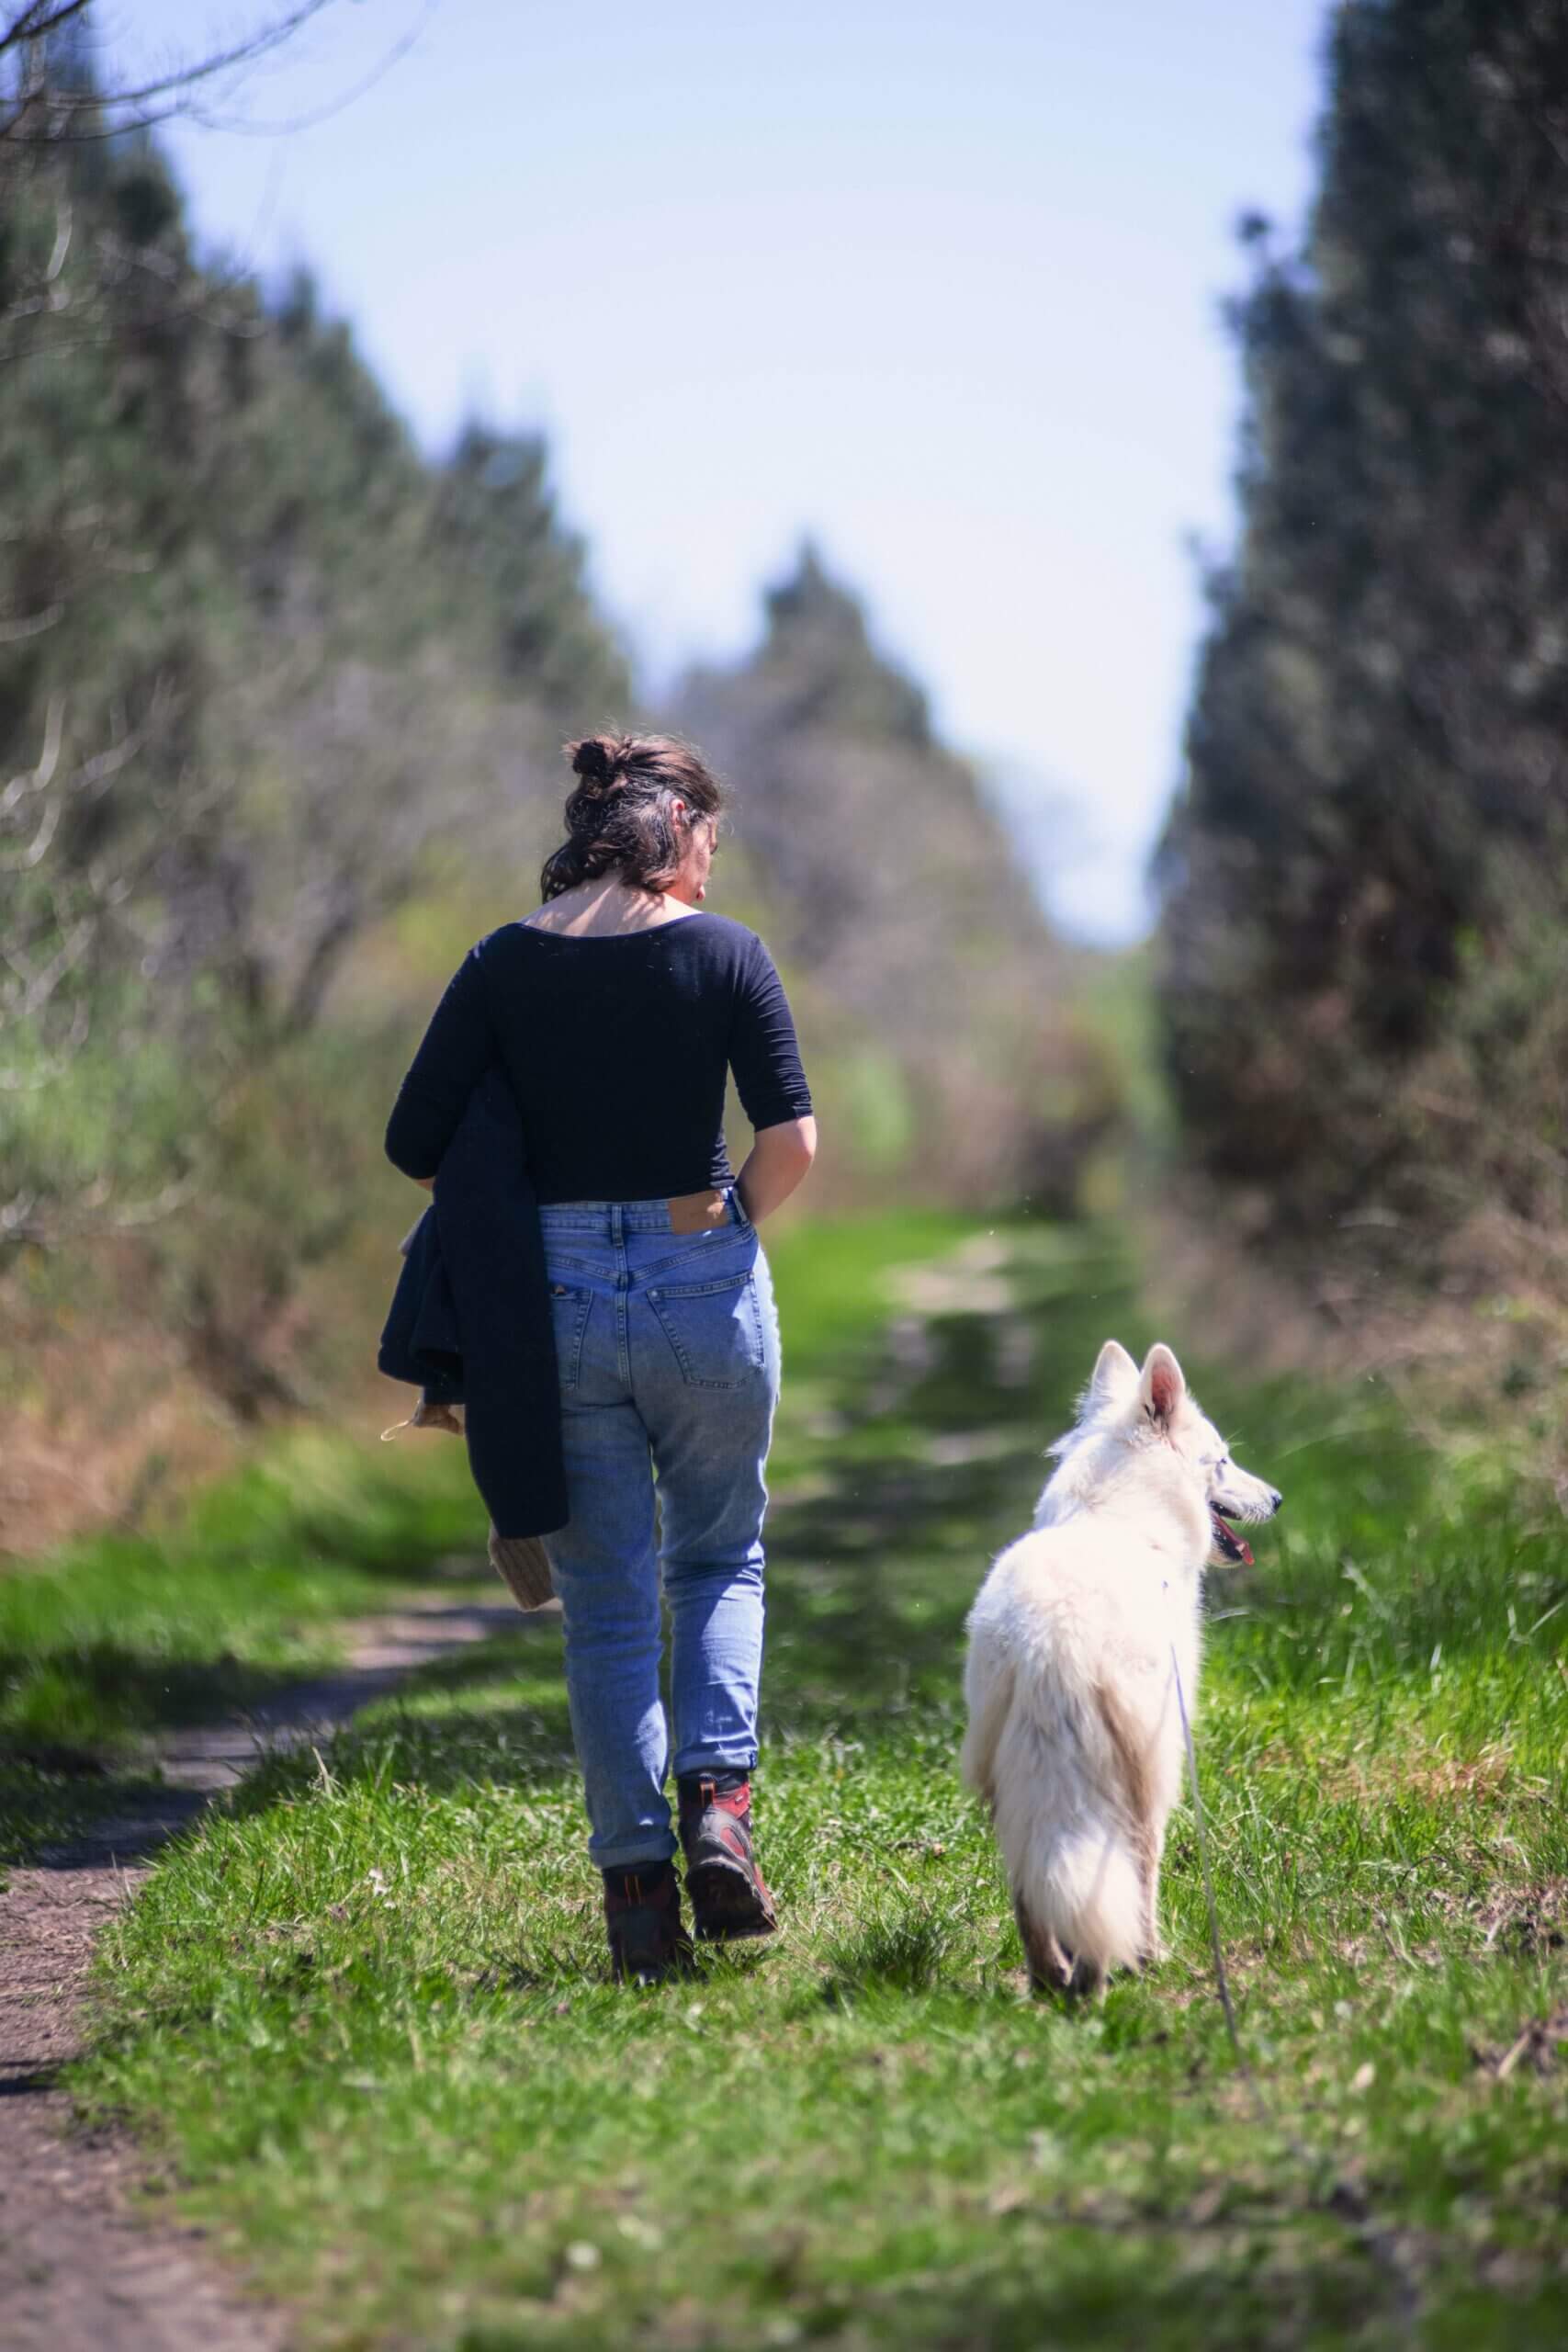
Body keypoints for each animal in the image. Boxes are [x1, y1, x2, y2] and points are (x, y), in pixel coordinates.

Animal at [964, 1345, 1279, 1984]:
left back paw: (1051, 1981)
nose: (1278, 1499)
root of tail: (1049, 1640)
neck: (1115, 1517)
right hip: (1150, 1769)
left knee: (1029, 1890)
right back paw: (1141, 1959)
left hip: (1004, 1774)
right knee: (1137, 1864)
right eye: (1223, 1461)